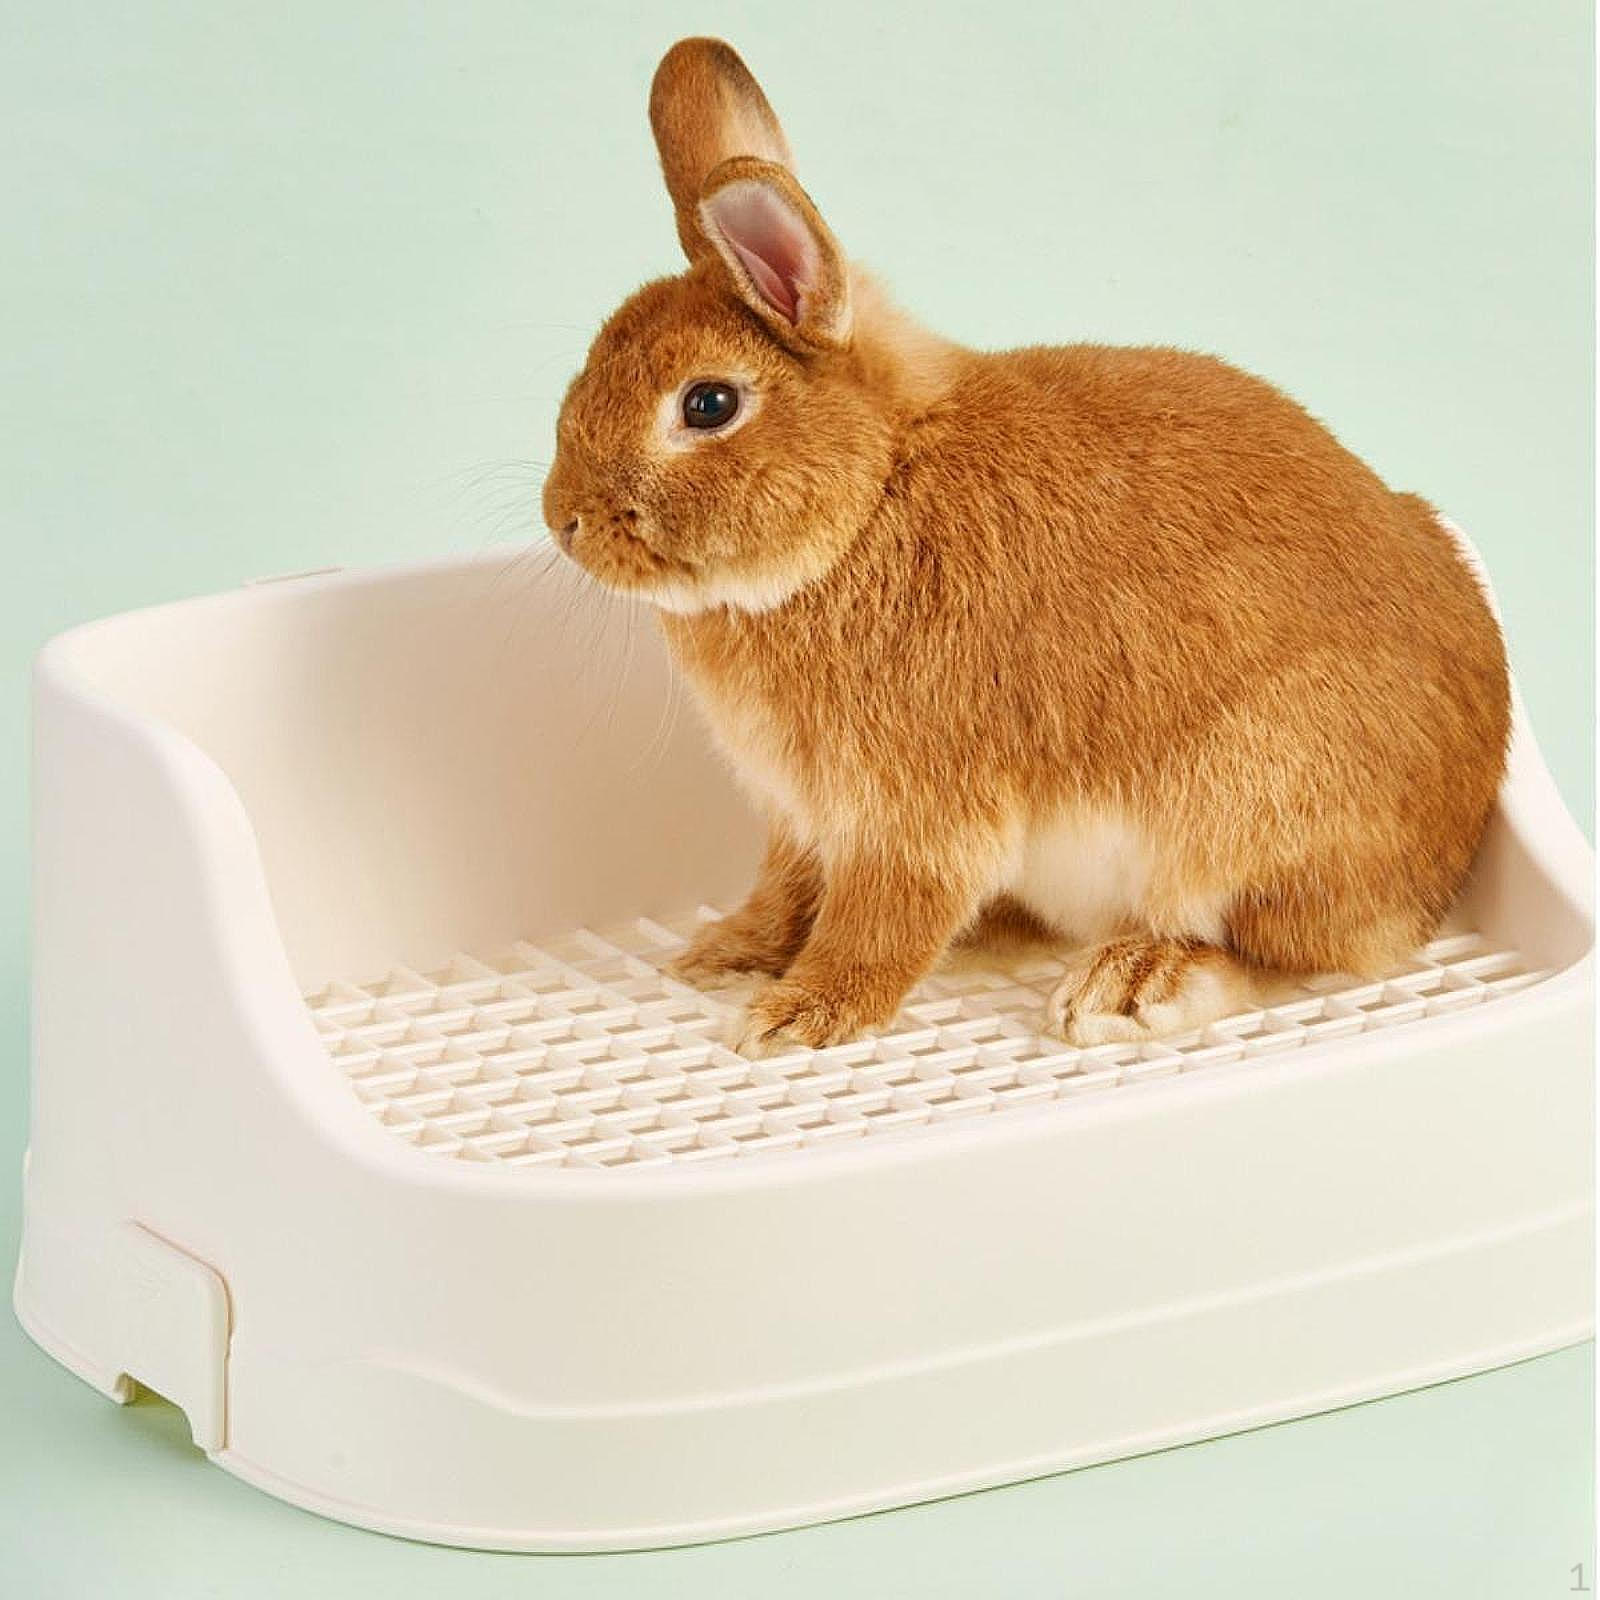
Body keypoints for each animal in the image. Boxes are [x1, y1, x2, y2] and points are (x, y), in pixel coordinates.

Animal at [541, 37, 1510, 1055]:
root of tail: (1442, 868)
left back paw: (1132, 983)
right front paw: (724, 957)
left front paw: (797, 1018)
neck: (873, 495)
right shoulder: (802, 821)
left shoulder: (915, 815)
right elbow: (787, 892)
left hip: (1249, 817)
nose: (563, 521)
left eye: (708, 404)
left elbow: (882, 921)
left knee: (1280, 955)